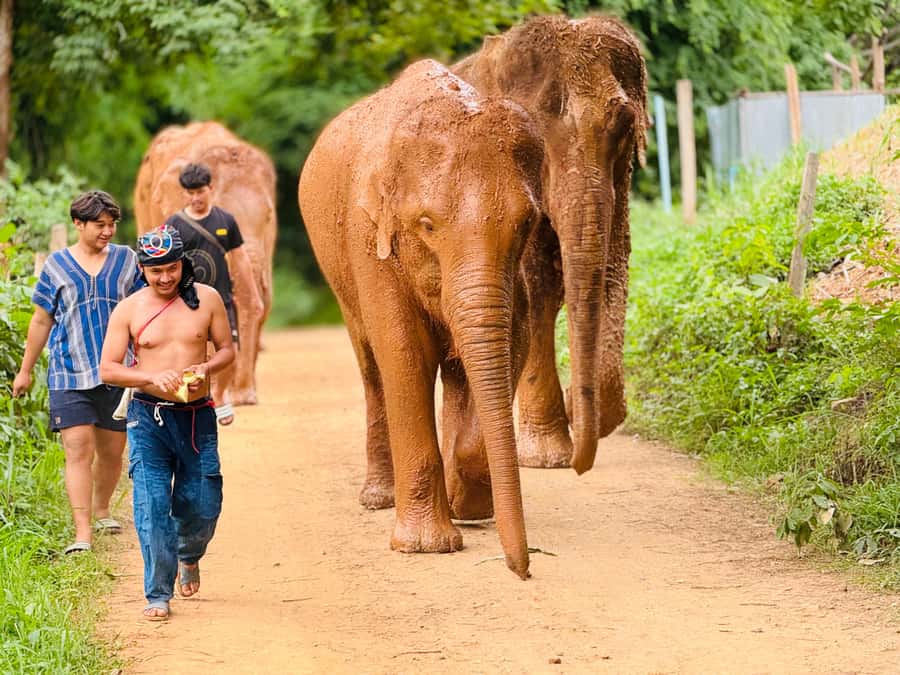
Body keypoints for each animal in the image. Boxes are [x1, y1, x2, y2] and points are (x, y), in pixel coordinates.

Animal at [298, 59, 545, 579]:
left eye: (527, 224)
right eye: (427, 226)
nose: (524, 569)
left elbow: (516, 335)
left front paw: (469, 505)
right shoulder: (367, 233)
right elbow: (404, 350)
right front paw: (426, 547)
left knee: (455, 373)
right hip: (338, 274)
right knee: (371, 366)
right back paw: (378, 499)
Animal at [452, 15, 649, 474]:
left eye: (624, 126)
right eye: (532, 134)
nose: (581, 464)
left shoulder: (620, 175)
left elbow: (613, 260)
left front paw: (583, 409)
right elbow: (536, 284)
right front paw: (547, 457)